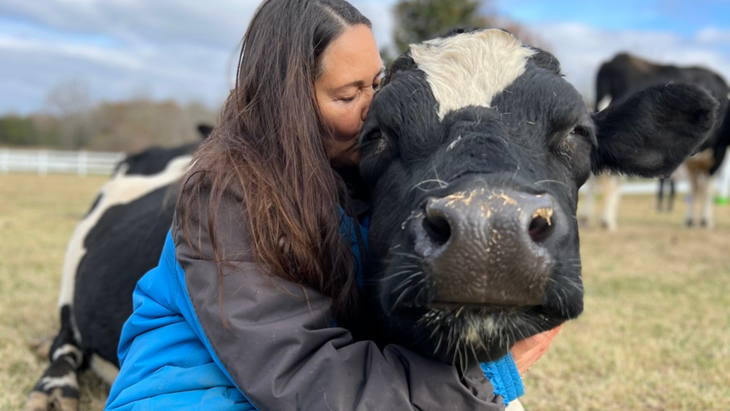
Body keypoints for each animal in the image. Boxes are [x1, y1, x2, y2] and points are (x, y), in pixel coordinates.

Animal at [580, 53, 728, 230]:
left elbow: (695, 187)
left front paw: (690, 220)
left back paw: (587, 218)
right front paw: (705, 221)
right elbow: (707, 187)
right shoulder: (719, 151)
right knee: (612, 180)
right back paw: (607, 221)